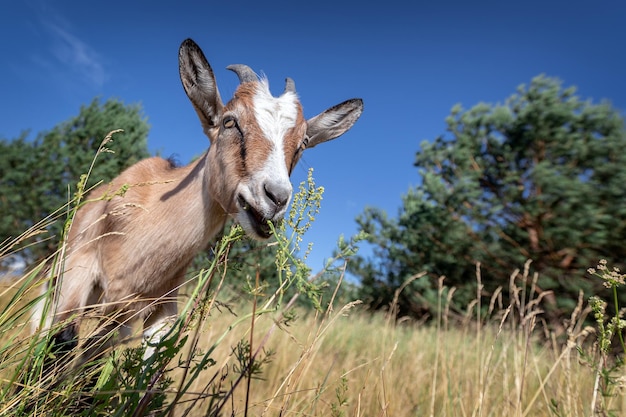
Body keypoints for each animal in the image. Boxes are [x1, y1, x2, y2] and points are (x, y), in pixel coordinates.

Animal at [34, 37, 364, 364]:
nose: (275, 197)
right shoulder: (78, 275)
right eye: (230, 121)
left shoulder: (152, 309)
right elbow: (61, 345)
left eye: (303, 142)